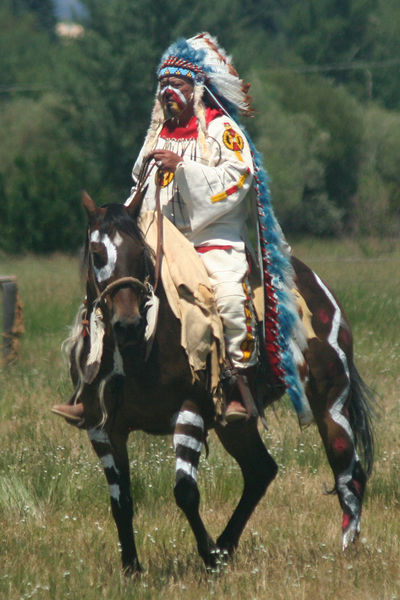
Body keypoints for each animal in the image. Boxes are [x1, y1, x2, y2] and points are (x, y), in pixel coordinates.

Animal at [59, 193, 376, 576]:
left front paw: (208, 556)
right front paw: (132, 568)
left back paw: (345, 547)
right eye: (97, 254)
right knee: (260, 471)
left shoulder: (190, 411)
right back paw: (227, 545)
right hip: (235, 424)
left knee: (347, 469)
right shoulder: (103, 427)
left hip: (331, 399)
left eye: (140, 253)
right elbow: (121, 500)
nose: (128, 324)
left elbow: (185, 492)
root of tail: (315, 286)